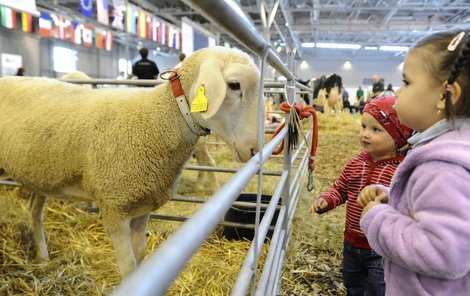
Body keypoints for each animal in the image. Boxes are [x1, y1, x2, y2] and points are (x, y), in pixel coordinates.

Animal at [0, 46, 260, 278]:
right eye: (234, 85)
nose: (254, 149)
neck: (157, 119)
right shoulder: (115, 207)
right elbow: (128, 265)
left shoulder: (142, 205)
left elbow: (141, 254)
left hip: (40, 172)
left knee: (34, 212)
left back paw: (43, 257)